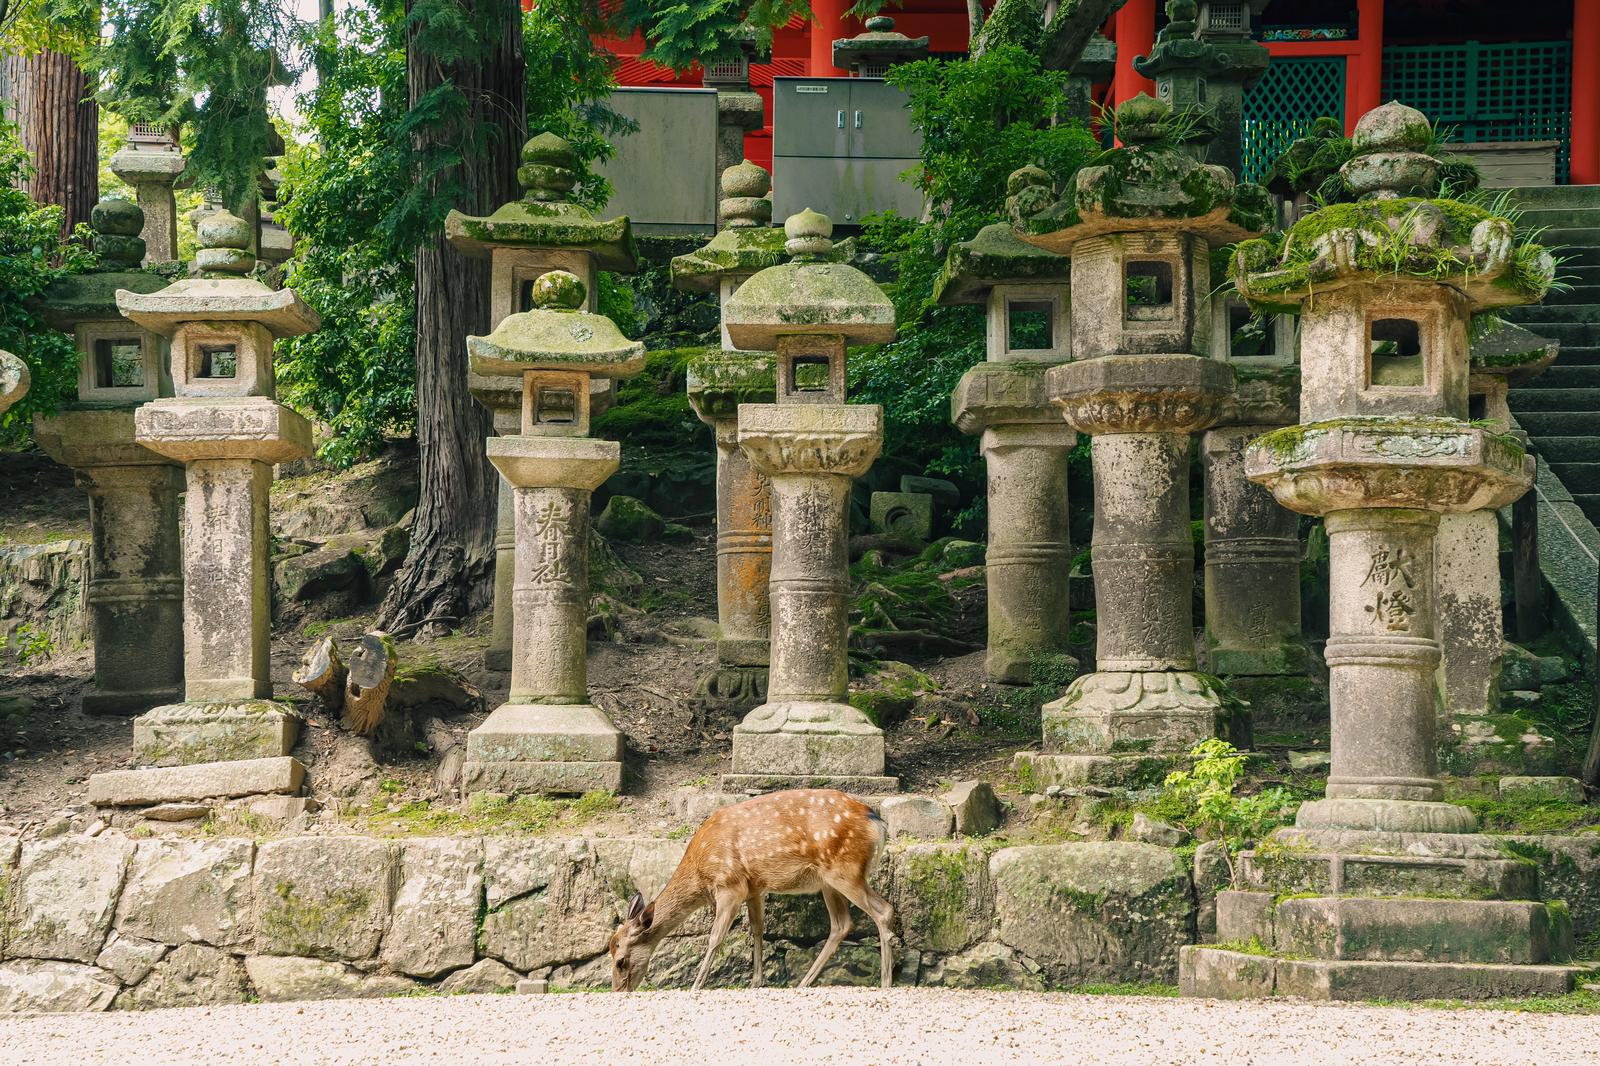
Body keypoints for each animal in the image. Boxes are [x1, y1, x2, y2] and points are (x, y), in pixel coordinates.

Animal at [604, 784, 896, 992]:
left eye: (620, 961)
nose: (619, 991)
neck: (700, 872)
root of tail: (877, 822)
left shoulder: (729, 885)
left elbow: (716, 937)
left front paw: (696, 985)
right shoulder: (755, 888)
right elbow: (757, 930)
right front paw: (756, 982)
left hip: (845, 870)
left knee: (883, 910)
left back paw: (886, 981)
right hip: (829, 881)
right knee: (841, 924)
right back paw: (804, 982)